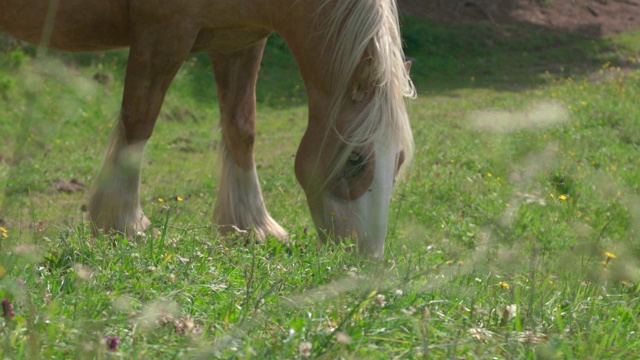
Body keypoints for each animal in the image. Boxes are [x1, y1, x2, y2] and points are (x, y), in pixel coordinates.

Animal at [0, 0, 418, 258]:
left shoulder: (240, 40)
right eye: (355, 160)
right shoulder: (163, 35)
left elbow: (241, 129)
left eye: (399, 161)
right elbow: (139, 120)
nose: (365, 257)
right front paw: (122, 223)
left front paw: (252, 226)